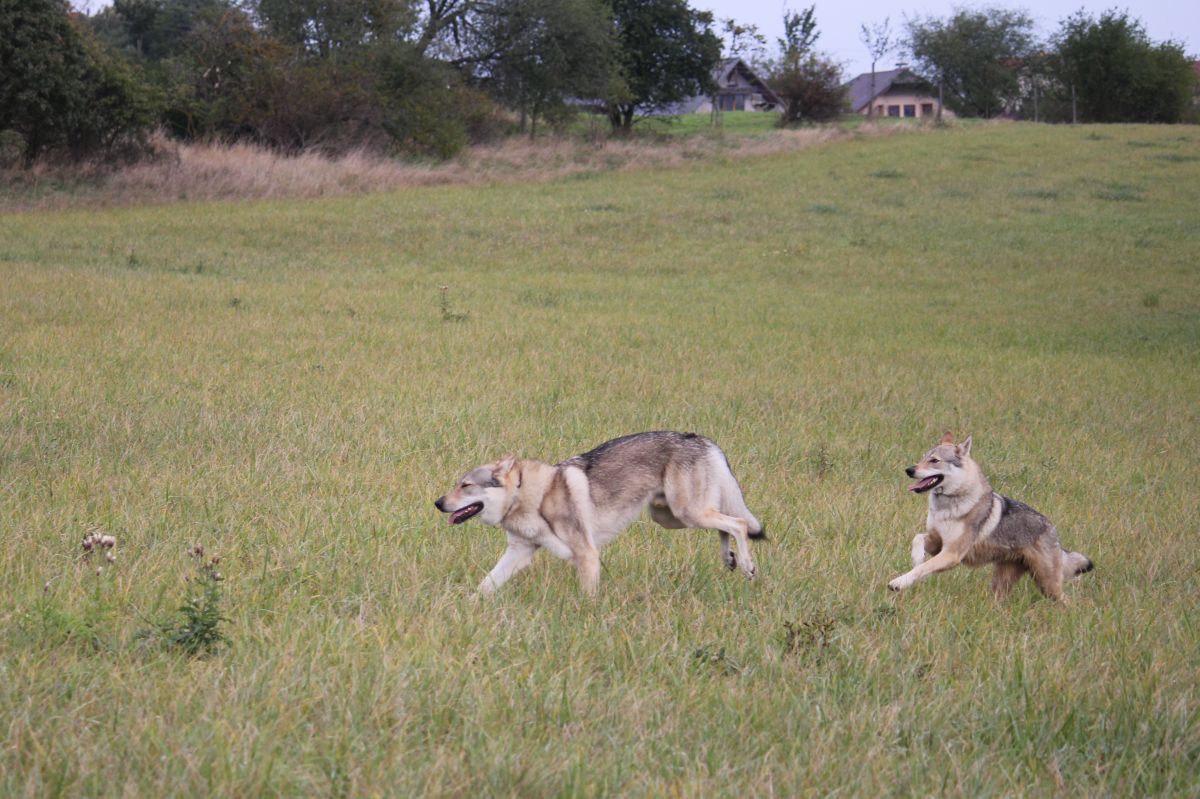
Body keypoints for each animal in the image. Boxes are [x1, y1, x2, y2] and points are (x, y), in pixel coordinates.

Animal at [436, 431, 763, 595]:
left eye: (465, 485)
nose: (438, 503)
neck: (526, 494)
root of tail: (699, 438)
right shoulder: (519, 552)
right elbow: (485, 585)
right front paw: (468, 608)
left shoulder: (587, 554)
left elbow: (588, 597)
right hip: (672, 517)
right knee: (726, 525)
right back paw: (729, 559)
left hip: (687, 513)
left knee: (739, 523)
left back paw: (747, 565)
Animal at [888, 431, 1094, 599]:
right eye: (923, 457)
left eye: (934, 460)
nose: (909, 470)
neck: (948, 506)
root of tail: (1053, 529)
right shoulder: (937, 544)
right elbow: (917, 540)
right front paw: (916, 559)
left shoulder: (951, 553)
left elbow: (922, 568)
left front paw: (899, 582)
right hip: (1002, 585)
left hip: (1048, 586)